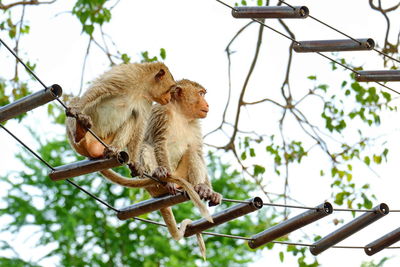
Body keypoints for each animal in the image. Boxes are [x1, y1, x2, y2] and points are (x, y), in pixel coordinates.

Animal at [100, 79, 222, 260]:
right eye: (200, 94)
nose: (207, 104)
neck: (180, 113)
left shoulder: (195, 123)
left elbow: (198, 151)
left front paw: (209, 191)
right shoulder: (161, 113)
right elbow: (159, 142)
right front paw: (164, 177)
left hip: (182, 174)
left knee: (192, 152)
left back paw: (200, 188)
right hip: (157, 182)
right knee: (146, 146)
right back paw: (163, 180)